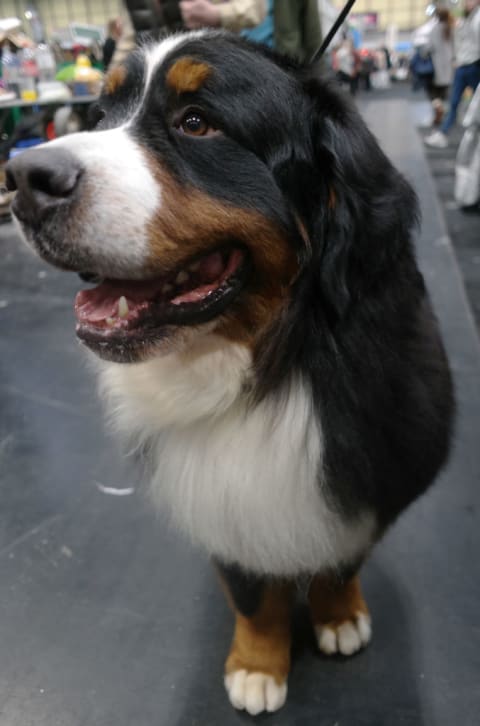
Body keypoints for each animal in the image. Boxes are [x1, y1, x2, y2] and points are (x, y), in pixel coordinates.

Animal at [8, 32, 458, 716]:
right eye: (100, 116)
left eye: (197, 123)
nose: (22, 179)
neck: (271, 368)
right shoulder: (223, 496)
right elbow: (252, 596)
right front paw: (257, 665)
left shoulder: (372, 474)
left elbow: (342, 560)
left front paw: (336, 615)